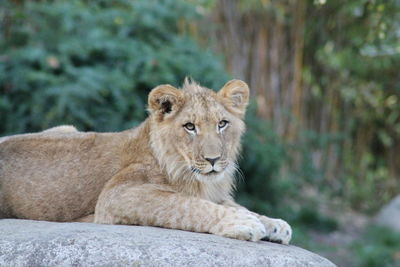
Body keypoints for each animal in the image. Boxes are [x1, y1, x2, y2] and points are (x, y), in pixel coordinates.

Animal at [1, 79, 292, 245]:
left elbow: (233, 204)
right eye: (190, 127)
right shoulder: (117, 196)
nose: (213, 160)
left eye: (222, 124)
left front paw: (273, 224)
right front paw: (242, 223)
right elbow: (188, 205)